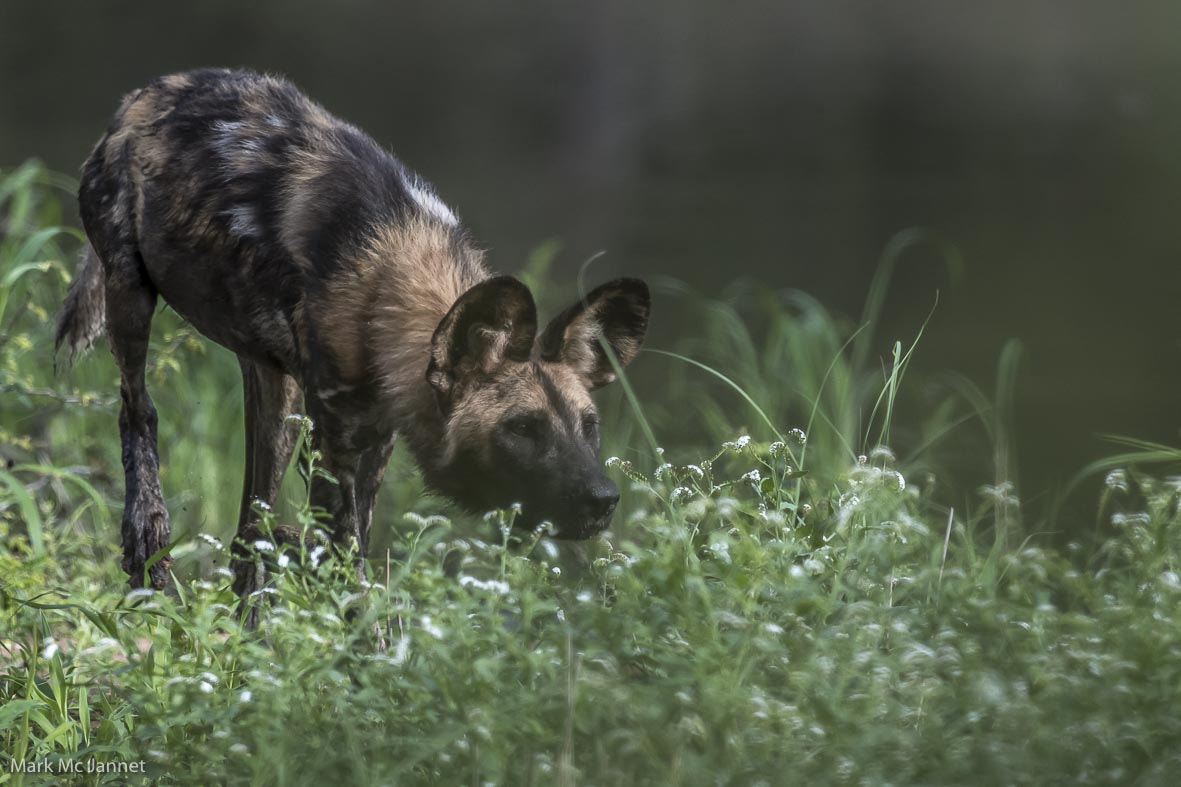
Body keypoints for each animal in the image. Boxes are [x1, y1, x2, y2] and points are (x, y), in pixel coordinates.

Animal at [55, 68, 651, 600]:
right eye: (523, 428)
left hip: (276, 399)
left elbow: (354, 554)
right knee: (137, 410)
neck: (389, 276)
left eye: (589, 425)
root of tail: (145, 93)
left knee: (250, 534)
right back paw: (147, 547)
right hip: (130, 293)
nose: (604, 498)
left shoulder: (375, 439)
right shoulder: (333, 450)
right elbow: (349, 573)